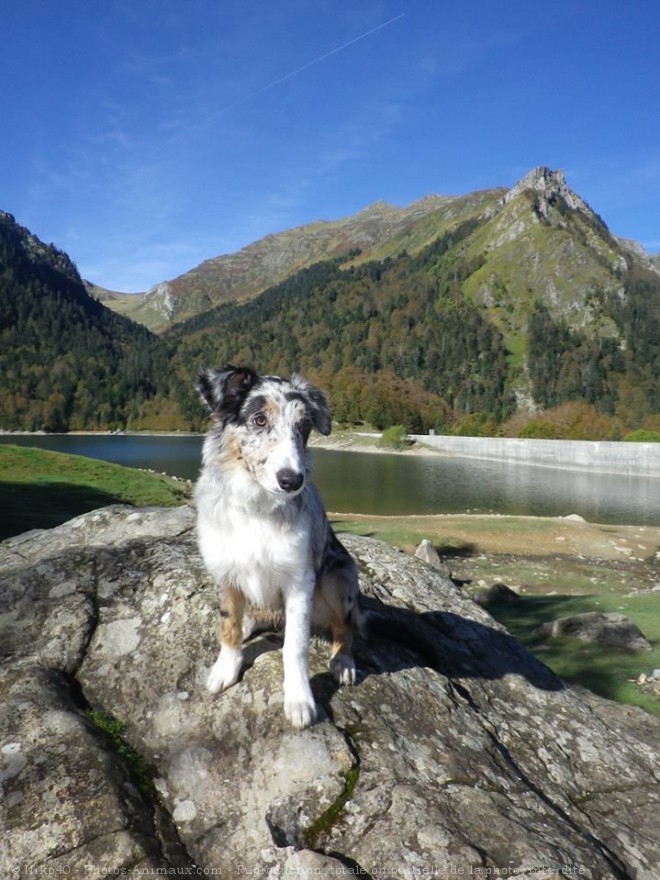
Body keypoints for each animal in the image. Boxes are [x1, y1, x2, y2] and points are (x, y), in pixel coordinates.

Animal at [193, 364, 364, 728]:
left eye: (304, 427)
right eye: (259, 420)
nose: (292, 480)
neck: (256, 507)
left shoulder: (300, 580)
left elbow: (294, 646)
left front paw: (299, 700)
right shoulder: (225, 572)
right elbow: (228, 625)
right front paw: (225, 669)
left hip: (340, 576)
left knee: (344, 625)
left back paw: (343, 661)